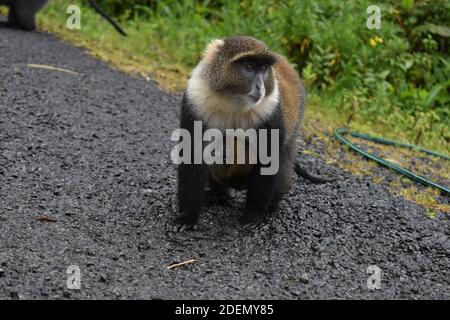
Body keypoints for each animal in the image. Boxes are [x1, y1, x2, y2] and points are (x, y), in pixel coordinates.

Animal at [176, 35, 334, 228]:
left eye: (264, 68)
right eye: (249, 66)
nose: (261, 87)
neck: (233, 99)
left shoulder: (270, 111)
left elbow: (269, 159)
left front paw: (253, 216)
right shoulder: (196, 100)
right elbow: (193, 154)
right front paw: (187, 217)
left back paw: (271, 206)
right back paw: (219, 195)